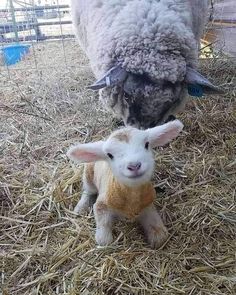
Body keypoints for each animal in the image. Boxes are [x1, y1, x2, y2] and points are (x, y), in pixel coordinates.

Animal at [67, 119, 183, 249]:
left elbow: (159, 234)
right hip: (88, 174)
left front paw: (157, 236)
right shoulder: (102, 205)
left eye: (147, 144)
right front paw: (104, 239)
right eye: (109, 155)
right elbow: (104, 238)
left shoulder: (147, 204)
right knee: (88, 191)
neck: (132, 196)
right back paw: (80, 208)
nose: (134, 166)